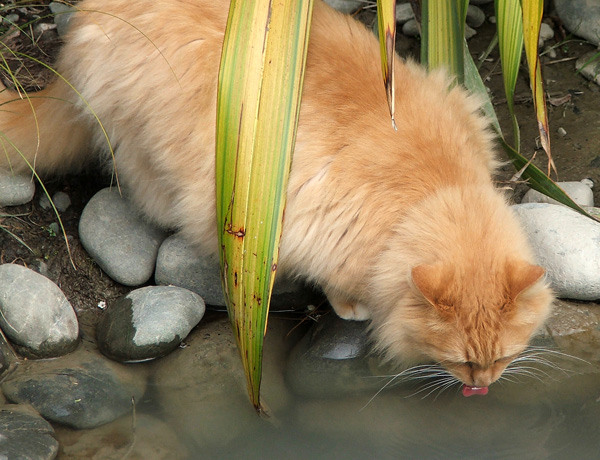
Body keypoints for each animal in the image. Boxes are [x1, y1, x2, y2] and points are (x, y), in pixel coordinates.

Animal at [0, 0, 552, 396]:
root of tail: (86, 20)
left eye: (502, 357)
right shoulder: (318, 226)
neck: (437, 188)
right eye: (463, 362)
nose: (484, 385)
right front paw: (353, 307)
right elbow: (338, 281)